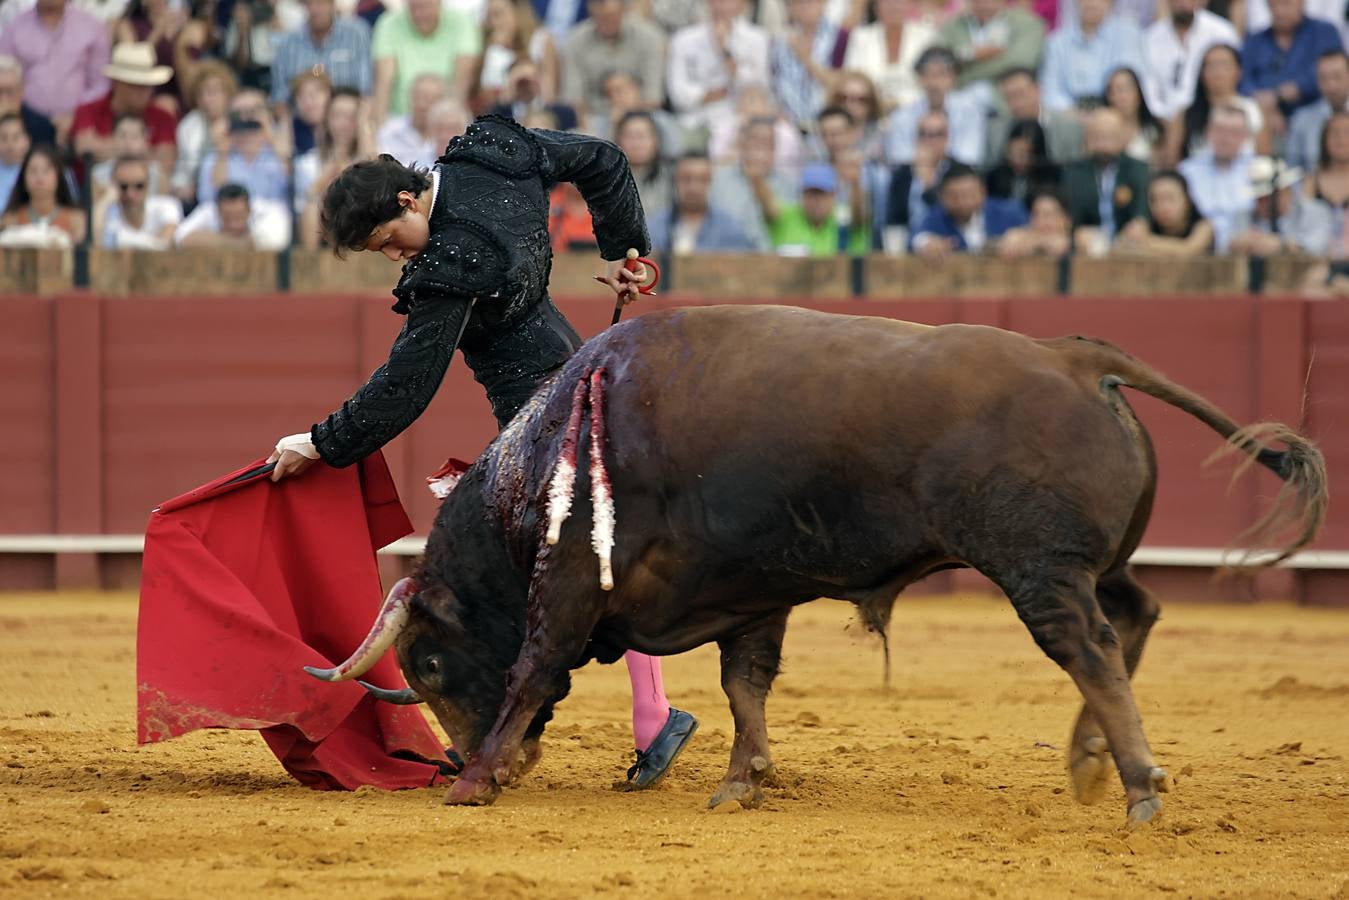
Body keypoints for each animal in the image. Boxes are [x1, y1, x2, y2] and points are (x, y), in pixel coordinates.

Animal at [300, 306, 1322, 825]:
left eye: (430, 663)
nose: (453, 759)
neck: (546, 453)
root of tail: (1080, 359)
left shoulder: (571, 583)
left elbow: (529, 667)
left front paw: (476, 784)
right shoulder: (748, 588)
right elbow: (745, 682)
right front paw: (740, 780)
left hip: (1037, 568)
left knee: (1090, 648)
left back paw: (1137, 785)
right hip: (1086, 563)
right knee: (1138, 613)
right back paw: (1088, 765)